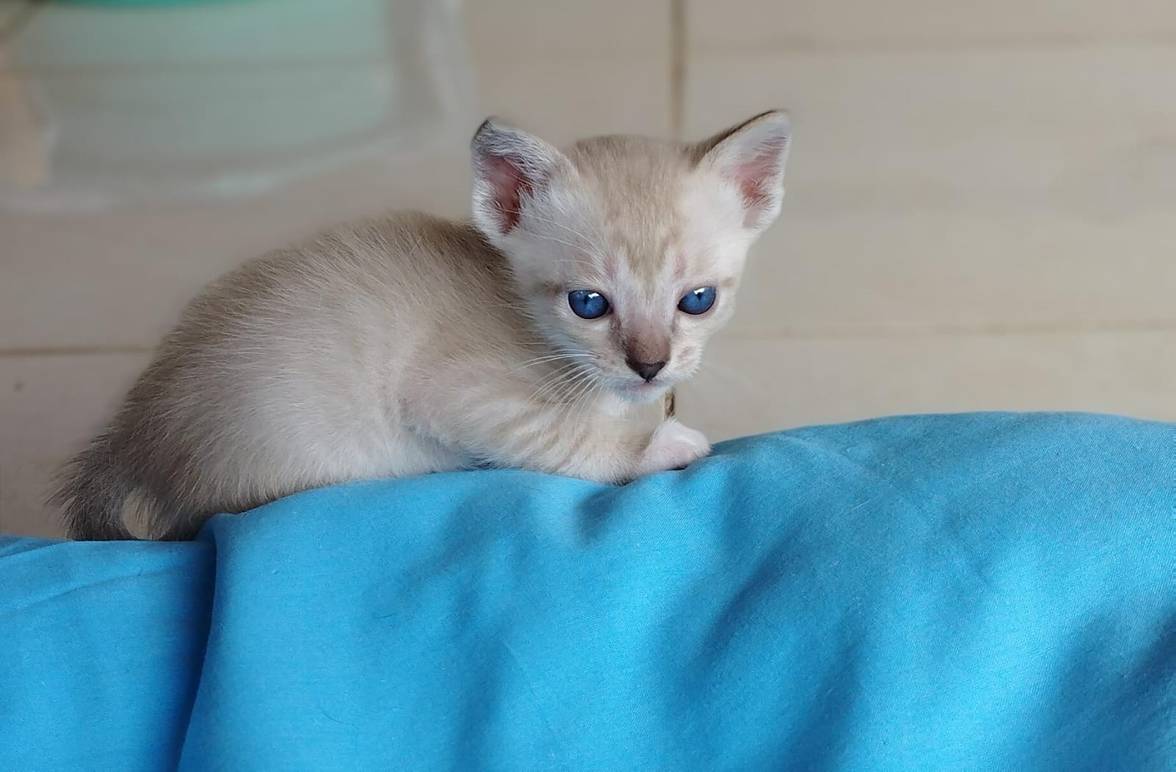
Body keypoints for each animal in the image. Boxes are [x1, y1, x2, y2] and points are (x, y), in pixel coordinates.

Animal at [52, 110, 792, 540]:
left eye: (697, 300)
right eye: (588, 304)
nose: (650, 364)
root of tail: (135, 431)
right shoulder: (460, 396)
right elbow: (571, 444)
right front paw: (664, 444)